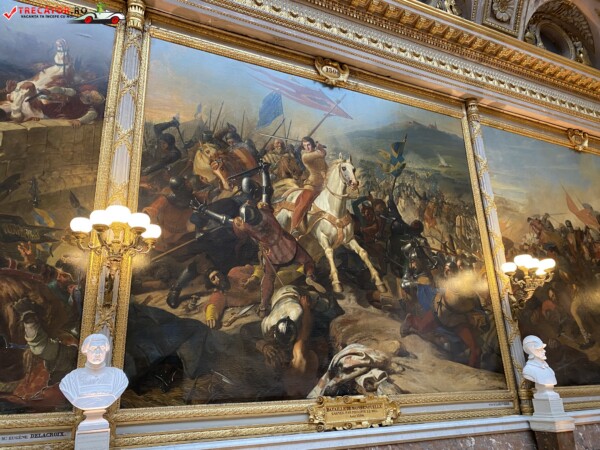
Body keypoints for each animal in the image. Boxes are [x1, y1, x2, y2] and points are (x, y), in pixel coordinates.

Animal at [275, 156, 387, 294]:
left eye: (354, 169)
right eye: (343, 168)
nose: (354, 184)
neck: (334, 209)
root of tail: (289, 193)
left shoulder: (349, 240)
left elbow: (363, 252)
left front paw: (378, 281)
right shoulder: (323, 238)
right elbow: (329, 252)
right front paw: (336, 282)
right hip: (281, 221)